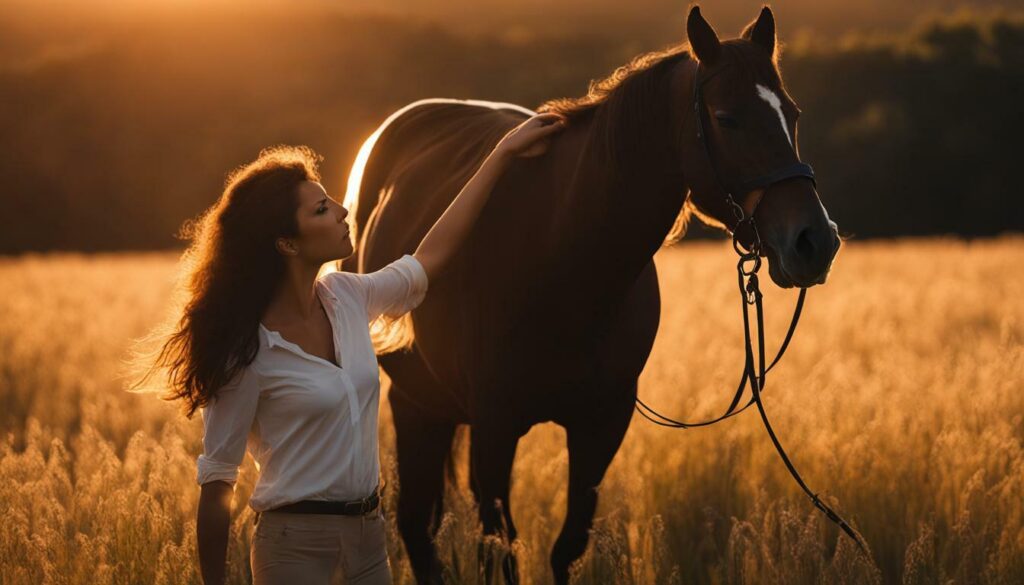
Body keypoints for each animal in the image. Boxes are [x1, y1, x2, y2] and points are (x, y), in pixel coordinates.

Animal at [340, 6, 840, 583]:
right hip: (418, 404)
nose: (815, 241)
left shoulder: (601, 424)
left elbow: (567, 546)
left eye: (792, 114)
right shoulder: (495, 426)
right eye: (726, 118)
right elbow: (501, 548)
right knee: (418, 528)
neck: (564, 258)